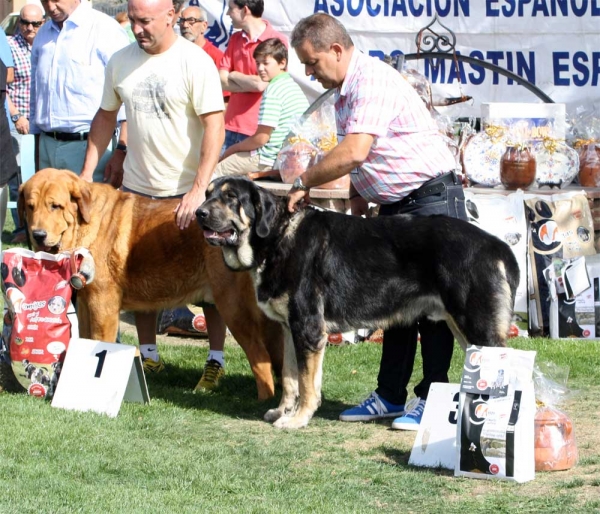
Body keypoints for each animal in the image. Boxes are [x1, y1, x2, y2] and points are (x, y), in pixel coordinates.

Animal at [18, 169, 282, 400]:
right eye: (30, 207)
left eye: (55, 206)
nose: (38, 235)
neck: (84, 225)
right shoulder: (85, 303)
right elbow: (85, 339)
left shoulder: (102, 305)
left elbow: (100, 342)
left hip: (231, 307)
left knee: (260, 357)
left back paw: (263, 401)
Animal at [198, 176, 520, 428]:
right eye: (207, 194)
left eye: (230, 197)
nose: (199, 213)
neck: (277, 236)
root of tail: (497, 246)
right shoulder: (291, 330)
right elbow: (290, 379)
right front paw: (282, 411)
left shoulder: (308, 329)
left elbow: (306, 383)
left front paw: (298, 419)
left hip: (477, 327)